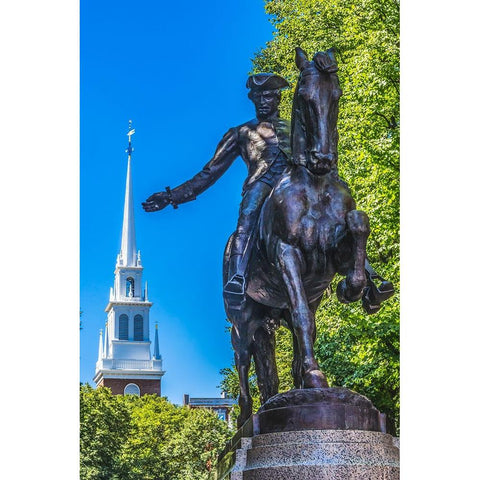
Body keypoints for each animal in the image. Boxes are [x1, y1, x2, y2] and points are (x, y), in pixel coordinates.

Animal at [221, 47, 372, 428]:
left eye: (337, 95)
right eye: (304, 96)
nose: (322, 158)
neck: (315, 185)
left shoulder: (332, 257)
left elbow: (358, 222)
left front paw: (355, 288)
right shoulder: (286, 252)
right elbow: (303, 314)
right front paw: (316, 377)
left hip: (275, 314)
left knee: (278, 362)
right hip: (243, 319)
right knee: (243, 359)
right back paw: (245, 418)